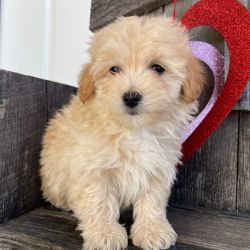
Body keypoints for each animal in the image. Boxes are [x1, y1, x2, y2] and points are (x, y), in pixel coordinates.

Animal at [39, 16, 203, 250]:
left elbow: (152, 201)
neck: (132, 130)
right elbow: (98, 201)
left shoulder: (158, 168)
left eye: (158, 68)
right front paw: (104, 234)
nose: (131, 97)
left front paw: (152, 231)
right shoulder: (92, 169)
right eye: (114, 69)